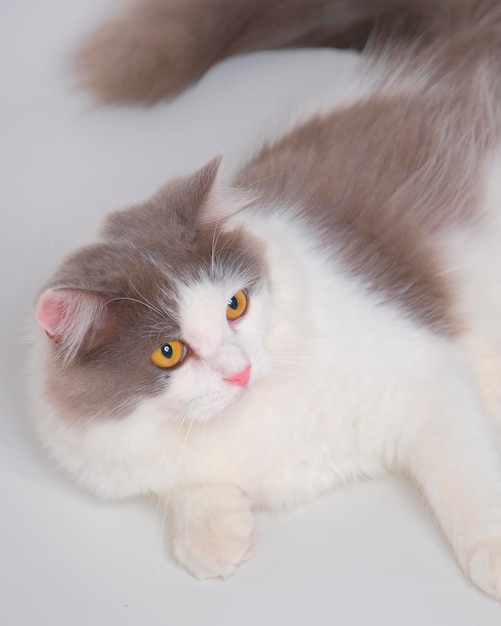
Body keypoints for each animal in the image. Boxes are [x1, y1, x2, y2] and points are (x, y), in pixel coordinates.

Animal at [28, 0, 501, 596]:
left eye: (235, 304)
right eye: (169, 352)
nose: (240, 372)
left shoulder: (424, 375)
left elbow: (468, 477)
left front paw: (493, 553)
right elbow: (185, 485)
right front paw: (212, 536)